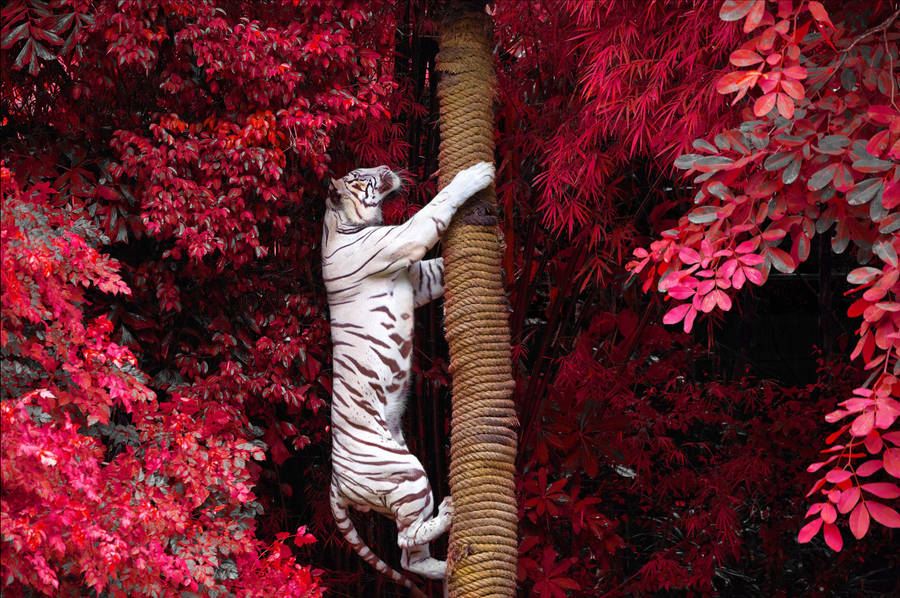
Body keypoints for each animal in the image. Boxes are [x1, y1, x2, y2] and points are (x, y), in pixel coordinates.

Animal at [322, 161, 495, 594]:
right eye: (361, 176)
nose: (385, 166)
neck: (339, 222)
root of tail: (334, 482)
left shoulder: (419, 279)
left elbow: (439, 267)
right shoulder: (404, 239)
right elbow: (437, 206)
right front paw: (477, 174)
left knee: (409, 557)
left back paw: (443, 567)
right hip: (406, 475)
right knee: (402, 544)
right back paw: (448, 515)